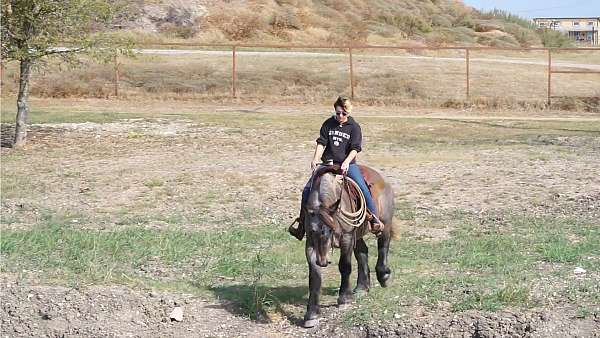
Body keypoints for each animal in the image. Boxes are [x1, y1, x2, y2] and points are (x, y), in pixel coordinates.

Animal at [302, 164, 396, 328]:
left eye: (330, 229)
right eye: (313, 231)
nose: (323, 261)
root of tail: (383, 180)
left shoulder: (346, 237)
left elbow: (345, 266)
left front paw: (344, 298)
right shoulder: (311, 244)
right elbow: (314, 276)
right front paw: (311, 314)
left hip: (385, 224)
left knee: (383, 246)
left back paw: (383, 275)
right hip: (357, 234)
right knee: (363, 252)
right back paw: (361, 288)